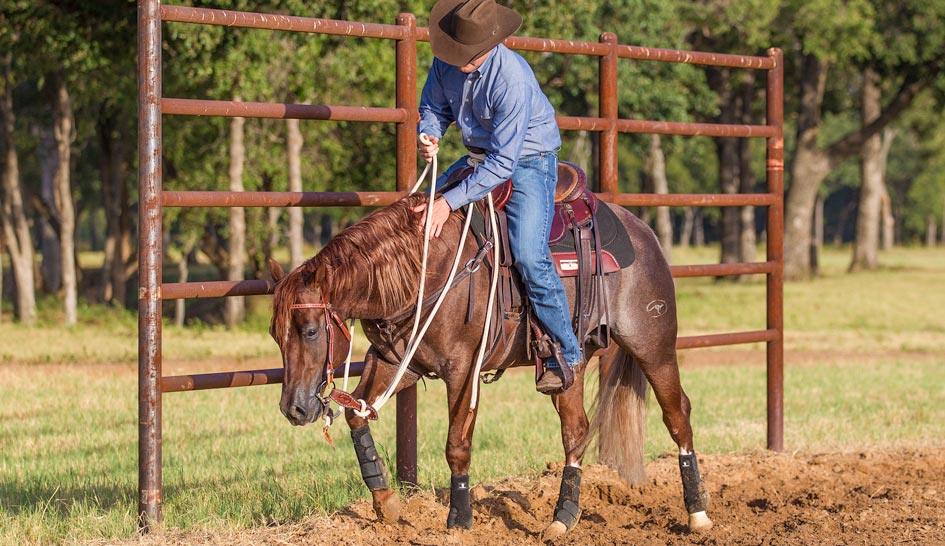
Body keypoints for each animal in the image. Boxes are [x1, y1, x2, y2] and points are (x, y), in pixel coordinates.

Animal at [267, 192, 712, 538]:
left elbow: (457, 445)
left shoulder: (463, 370)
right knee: (576, 430)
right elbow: (356, 415)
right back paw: (562, 518)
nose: (294, 409)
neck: (427, 271)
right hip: (573, 363)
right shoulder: (397, 362)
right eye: (275, 334)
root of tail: (642, 231)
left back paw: (698, 514)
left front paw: (459, 520)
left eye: (310, 330)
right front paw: (387, 502)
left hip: (652, 346)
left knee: (677, 414)